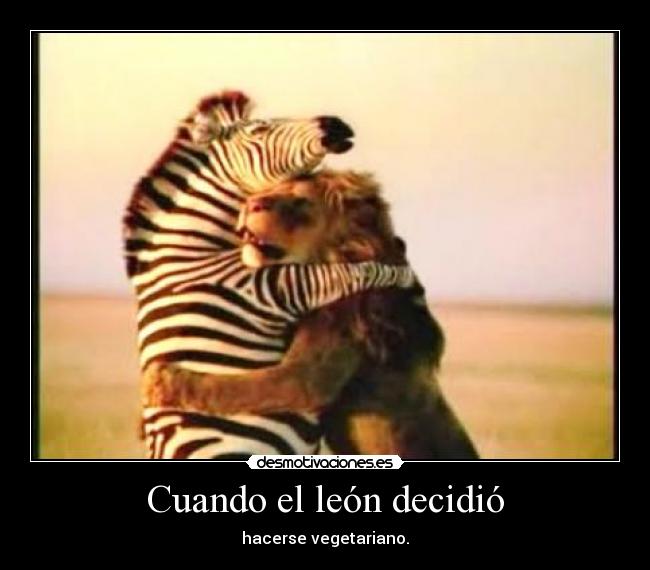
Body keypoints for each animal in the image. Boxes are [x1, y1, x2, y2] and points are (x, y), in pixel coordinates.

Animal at [144, 169, 478, 459]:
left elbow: (238, 387)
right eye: (272, 191)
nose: (250, 203)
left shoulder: (308, 378)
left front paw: (163, 382)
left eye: (301, 202)